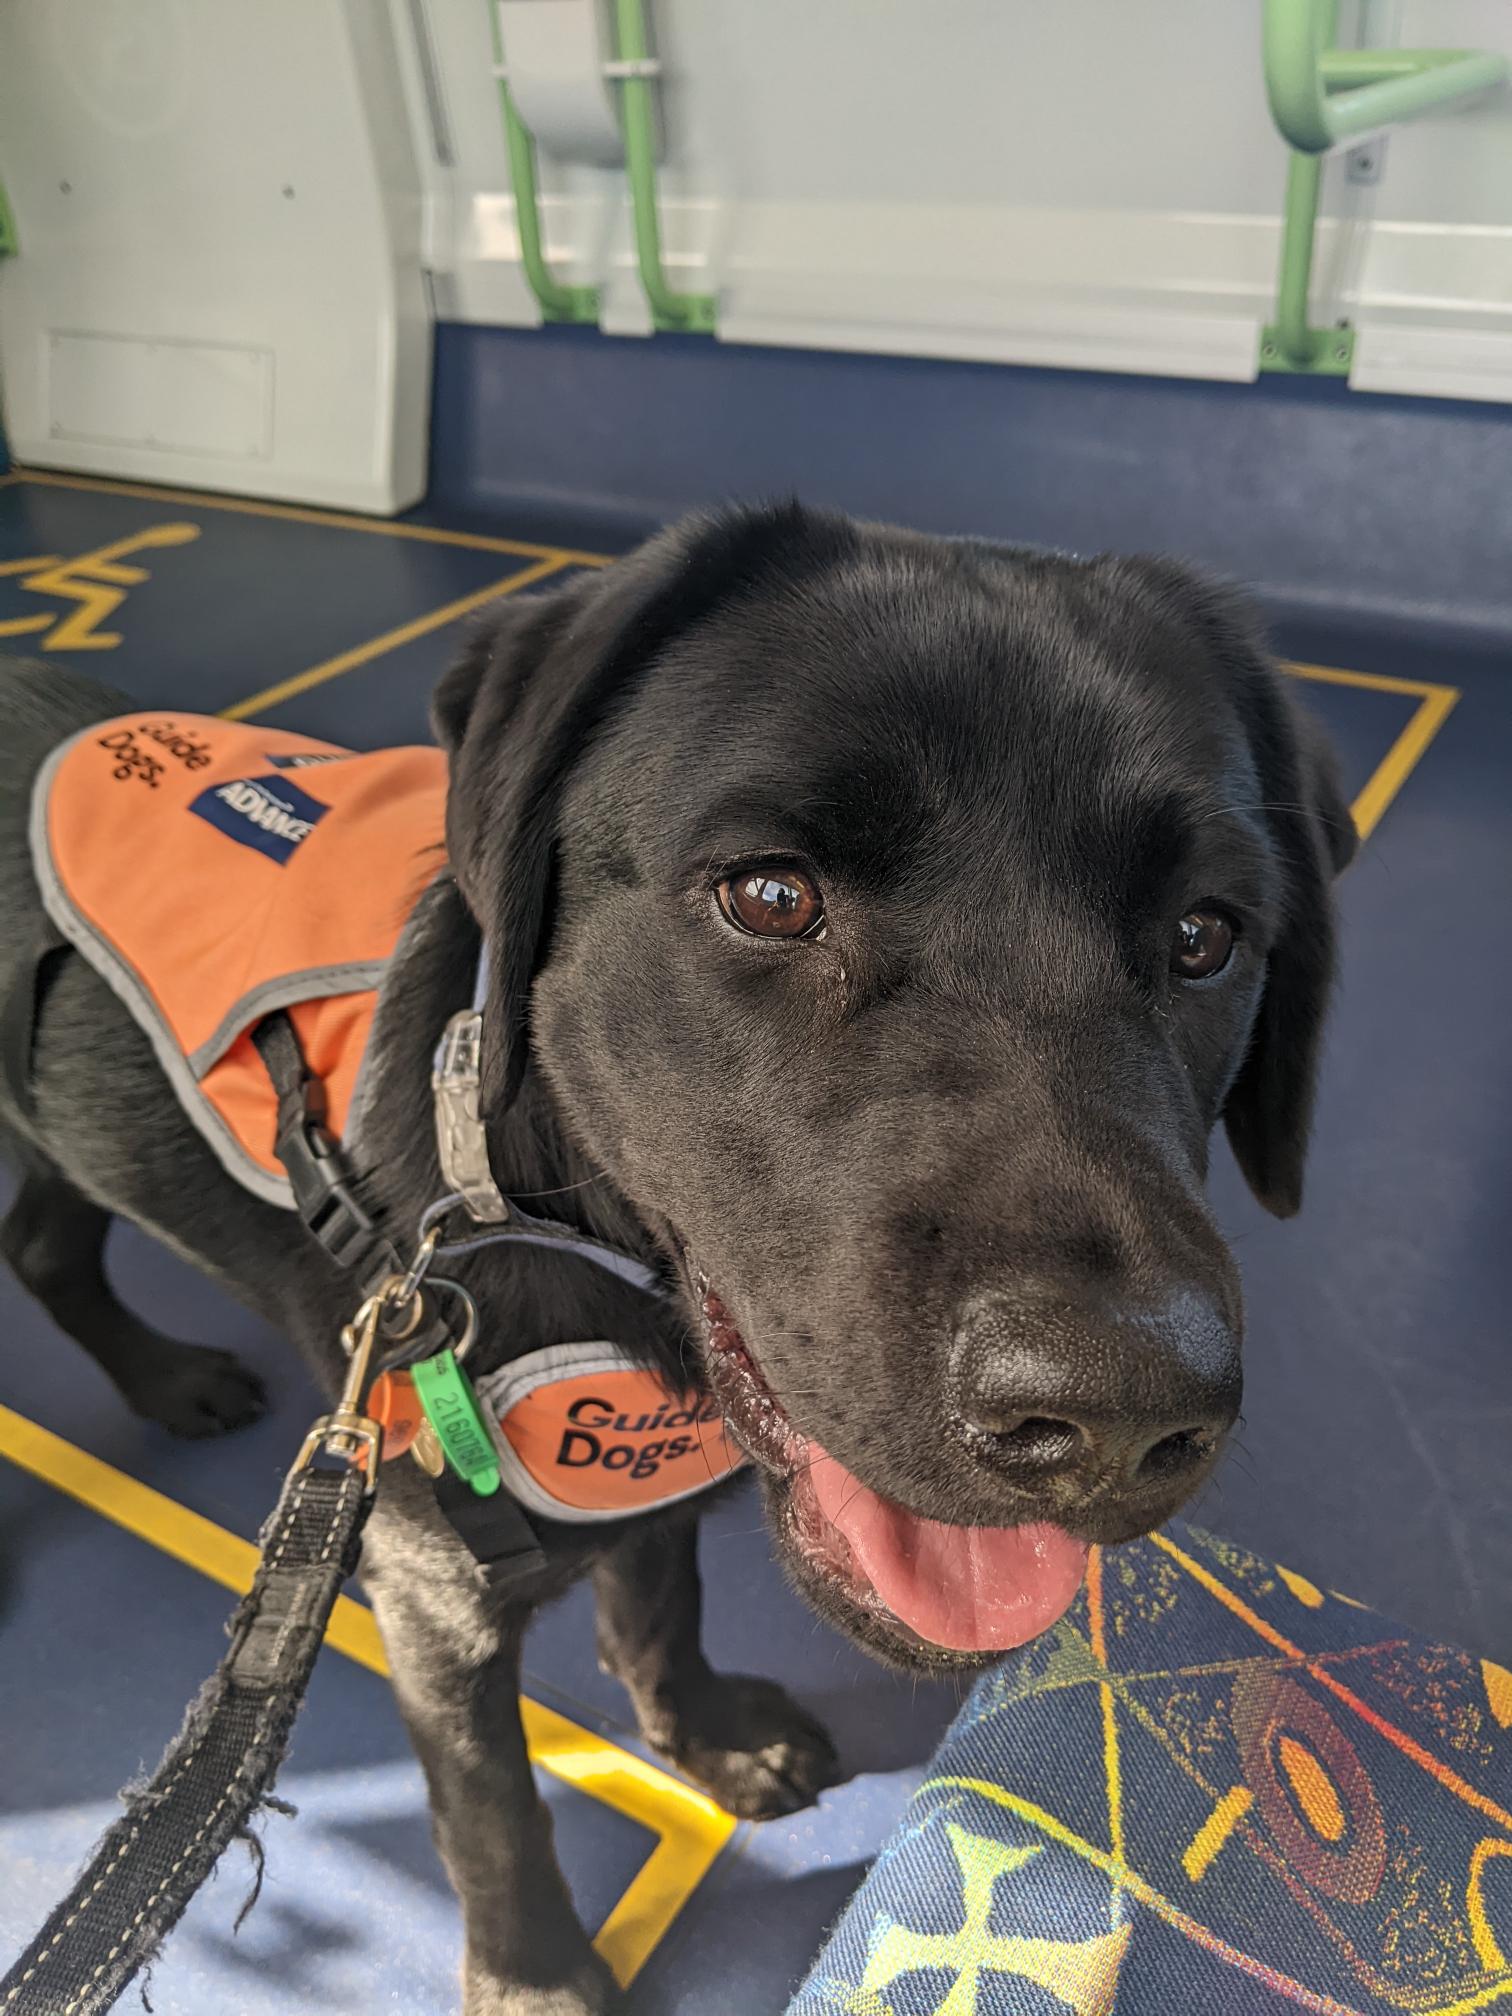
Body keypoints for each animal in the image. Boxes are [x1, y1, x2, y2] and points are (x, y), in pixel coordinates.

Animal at [0, 499, 1346, 1999]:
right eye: (768, 895)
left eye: (1206, 934)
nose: (1117, 1416)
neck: (549, 1219)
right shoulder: (426, 1580)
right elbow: (493, 1802)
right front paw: (533, 1976)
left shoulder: (653, 1467)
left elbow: (661, 1590)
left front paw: (702, 1733)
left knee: (44, 1244)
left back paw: (167, 1381)